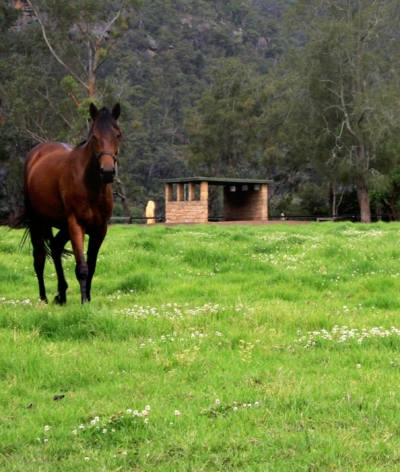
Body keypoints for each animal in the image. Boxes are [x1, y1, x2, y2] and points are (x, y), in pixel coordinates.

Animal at [21, 101, 121, 304]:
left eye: (117, 135)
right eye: (94, 136)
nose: (107, 172)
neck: (90, 185)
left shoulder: (100, 229)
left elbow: (92, 265)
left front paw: (88, 299)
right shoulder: (76, 225)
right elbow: (82, 267)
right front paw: (83, 302)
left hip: (62, 226)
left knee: (56, 247)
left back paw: (62, 294)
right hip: (37, 221)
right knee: (39, 258)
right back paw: (43, 298)